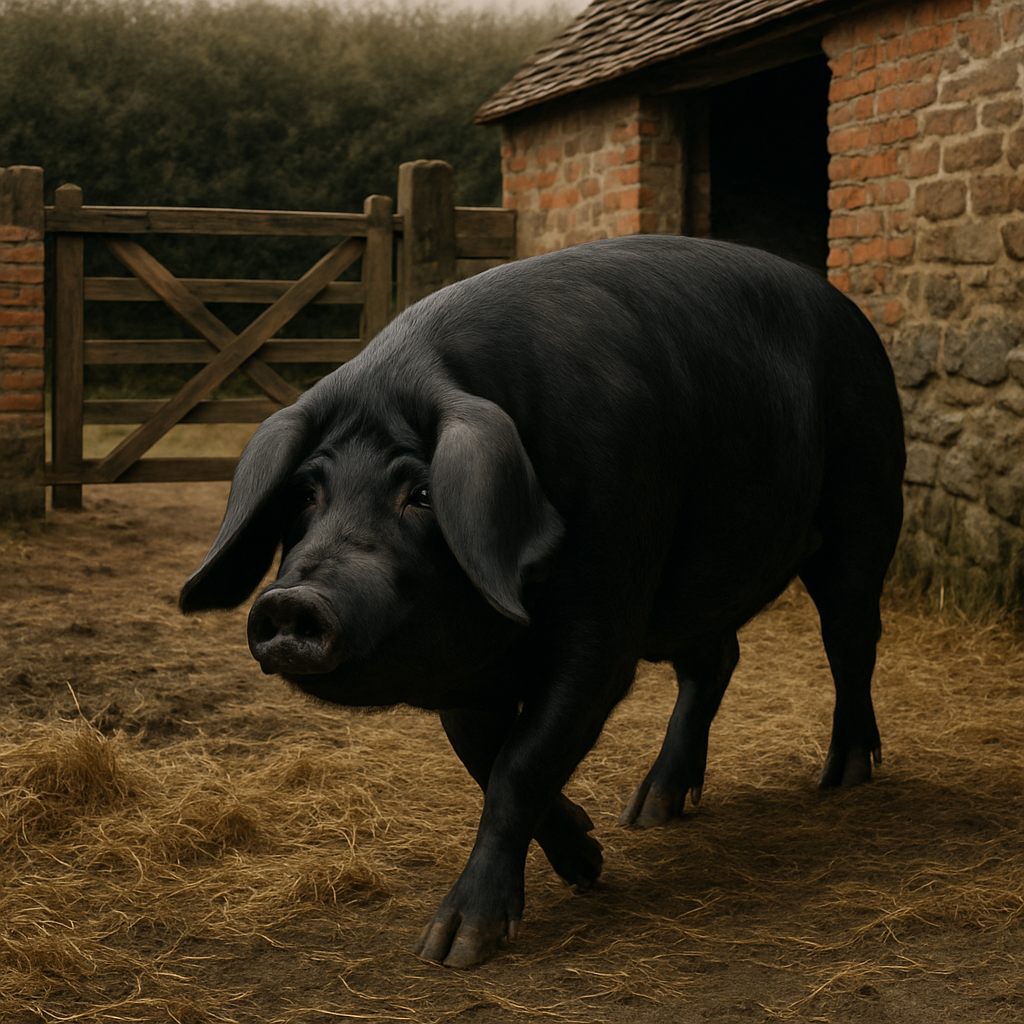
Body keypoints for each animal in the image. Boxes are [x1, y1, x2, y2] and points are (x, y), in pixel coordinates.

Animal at [180, 234, 905, 967]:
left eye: (422, 493)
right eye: (305, 493)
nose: (293, 602)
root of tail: (852, 315)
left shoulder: (605, 617)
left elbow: (522, 763)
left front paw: (452, 948)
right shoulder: (469, 671)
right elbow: (486, 758)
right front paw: (589, 861)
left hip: (866, 503)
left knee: (850, 638)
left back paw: (844, 777)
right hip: (692, 585)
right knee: (715, 660)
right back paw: (649, 811)